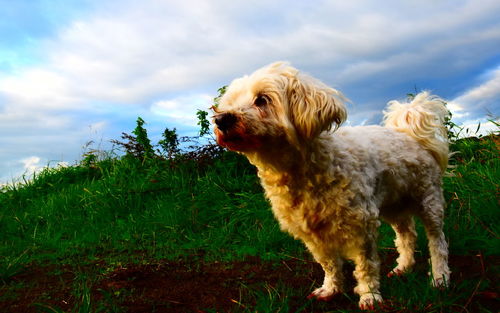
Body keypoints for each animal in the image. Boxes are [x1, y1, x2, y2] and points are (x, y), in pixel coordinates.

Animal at [213, 62, 452, 308]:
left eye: (262, 99)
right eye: (229, 103)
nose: (221, 119)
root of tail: (410, 133)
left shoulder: (361, 225)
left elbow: (365, 265)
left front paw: (370, 295)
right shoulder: (311, 232)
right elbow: (327, 263)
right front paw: (331, 289)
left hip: (429, 200)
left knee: (437, 241)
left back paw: (440, 277)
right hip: (394, 204)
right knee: (406, 235)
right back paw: (403, 267)